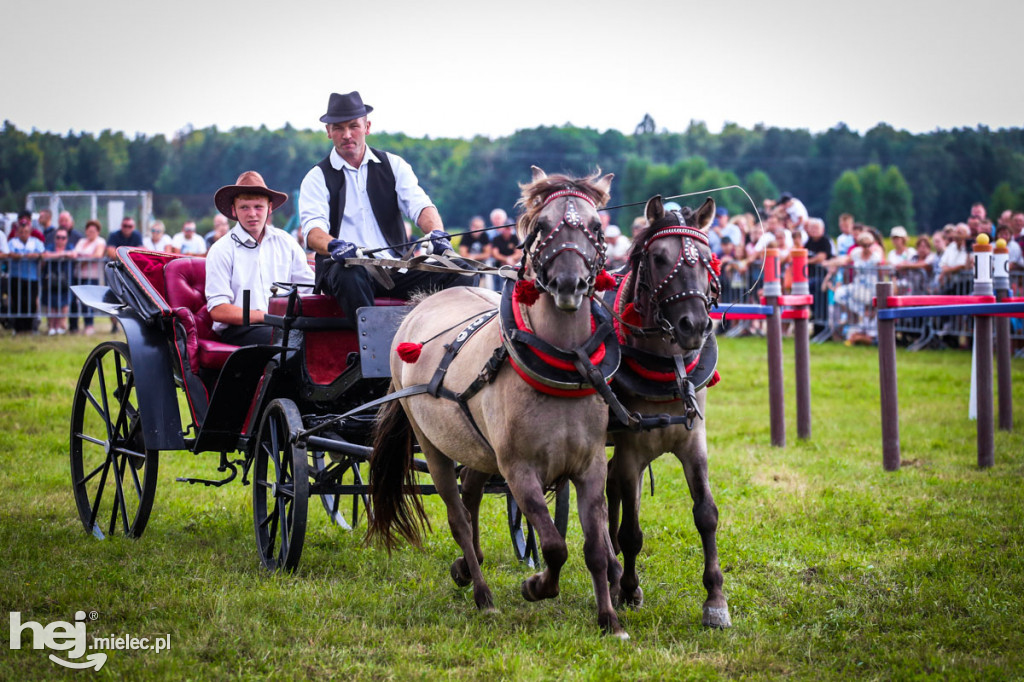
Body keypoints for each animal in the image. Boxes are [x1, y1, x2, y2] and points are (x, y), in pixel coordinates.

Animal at [364, 166, 626, 634]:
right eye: (541, 226)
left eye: (597, 227)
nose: (569, 284)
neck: (562, 366)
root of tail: (420, 304)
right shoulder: (519, 470)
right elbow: (554, 545)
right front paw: (536, 585)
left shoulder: (590, 465)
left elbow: (595, 547)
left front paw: (609, 619)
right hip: (433, 445)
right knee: (458, 516)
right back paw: (483, 594)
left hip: (477, 448)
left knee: (470, 496)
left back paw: (466, 570)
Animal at [602, 193, 733, 622]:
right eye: (659, 258)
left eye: (708, 259)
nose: (694, 325)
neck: (668, 364)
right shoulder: (632, 448)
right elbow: (632, 530)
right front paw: (629, 588)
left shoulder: (694, 443)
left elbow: (706, 513)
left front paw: (715, 600)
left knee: (608, 485)